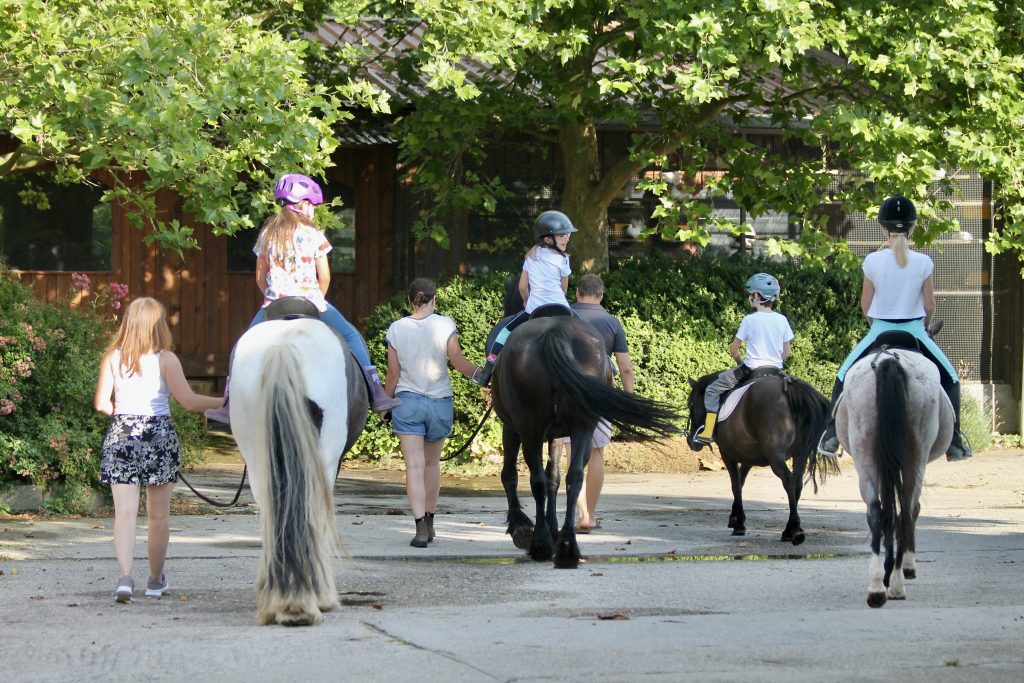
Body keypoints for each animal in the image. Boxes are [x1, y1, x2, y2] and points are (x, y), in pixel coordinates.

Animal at [492, 306, 680, 568]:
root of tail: (555, 332)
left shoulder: (512, 428)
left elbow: (512, 475)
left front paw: (521, 527)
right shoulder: (556, 436)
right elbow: (554, 478)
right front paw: (552, 529)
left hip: (531, 430)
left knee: (536, 480)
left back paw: (541, 544)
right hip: (581, 428)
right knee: (575, 476)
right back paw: (567, 546)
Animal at [686, 371, 834, 544]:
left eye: (691, 405)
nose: (691, 441)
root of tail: (787, 386)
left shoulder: (727, 454)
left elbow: (735, 485)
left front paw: (739, 524)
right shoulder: (748, 458)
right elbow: (741, 482)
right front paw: (735, 518)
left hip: (775, 456)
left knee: (788, 481)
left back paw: (795, 531)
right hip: (800, 455)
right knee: (797, 483)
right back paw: (789, 529)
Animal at [836, 346, 953, 607]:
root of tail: (889, 359)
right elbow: (909, 511)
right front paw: (906, 567)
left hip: (866, 456)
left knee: (878, 512)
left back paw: (878, 587)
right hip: (914, 460)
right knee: (906, 512)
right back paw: (896, 582)